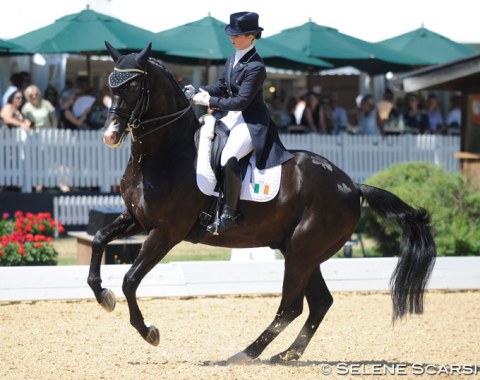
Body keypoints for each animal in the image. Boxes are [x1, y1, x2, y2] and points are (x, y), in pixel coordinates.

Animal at [88, 43, 436, 364]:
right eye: (110, 85)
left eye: (134, 86)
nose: (110, 135)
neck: (167, 154)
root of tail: (350, 185)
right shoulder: (136, 218)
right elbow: (99, 240)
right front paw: (104, 296)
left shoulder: (166, 233)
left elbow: (131, 280)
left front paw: (149, 331)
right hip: (300, 250)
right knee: (319, 303)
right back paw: (286, 354)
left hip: (301, 251)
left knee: (291, 306)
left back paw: (246, 353)